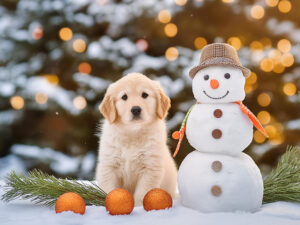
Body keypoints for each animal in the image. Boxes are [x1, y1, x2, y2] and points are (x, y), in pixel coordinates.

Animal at [95, 72, 177, 206]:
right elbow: (110, 189)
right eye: (124, 97)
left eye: (144, 95)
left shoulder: (150, 168)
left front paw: (139, 207)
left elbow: (142, 193)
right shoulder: (109, 166)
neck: (133, 133)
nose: (136, 109)